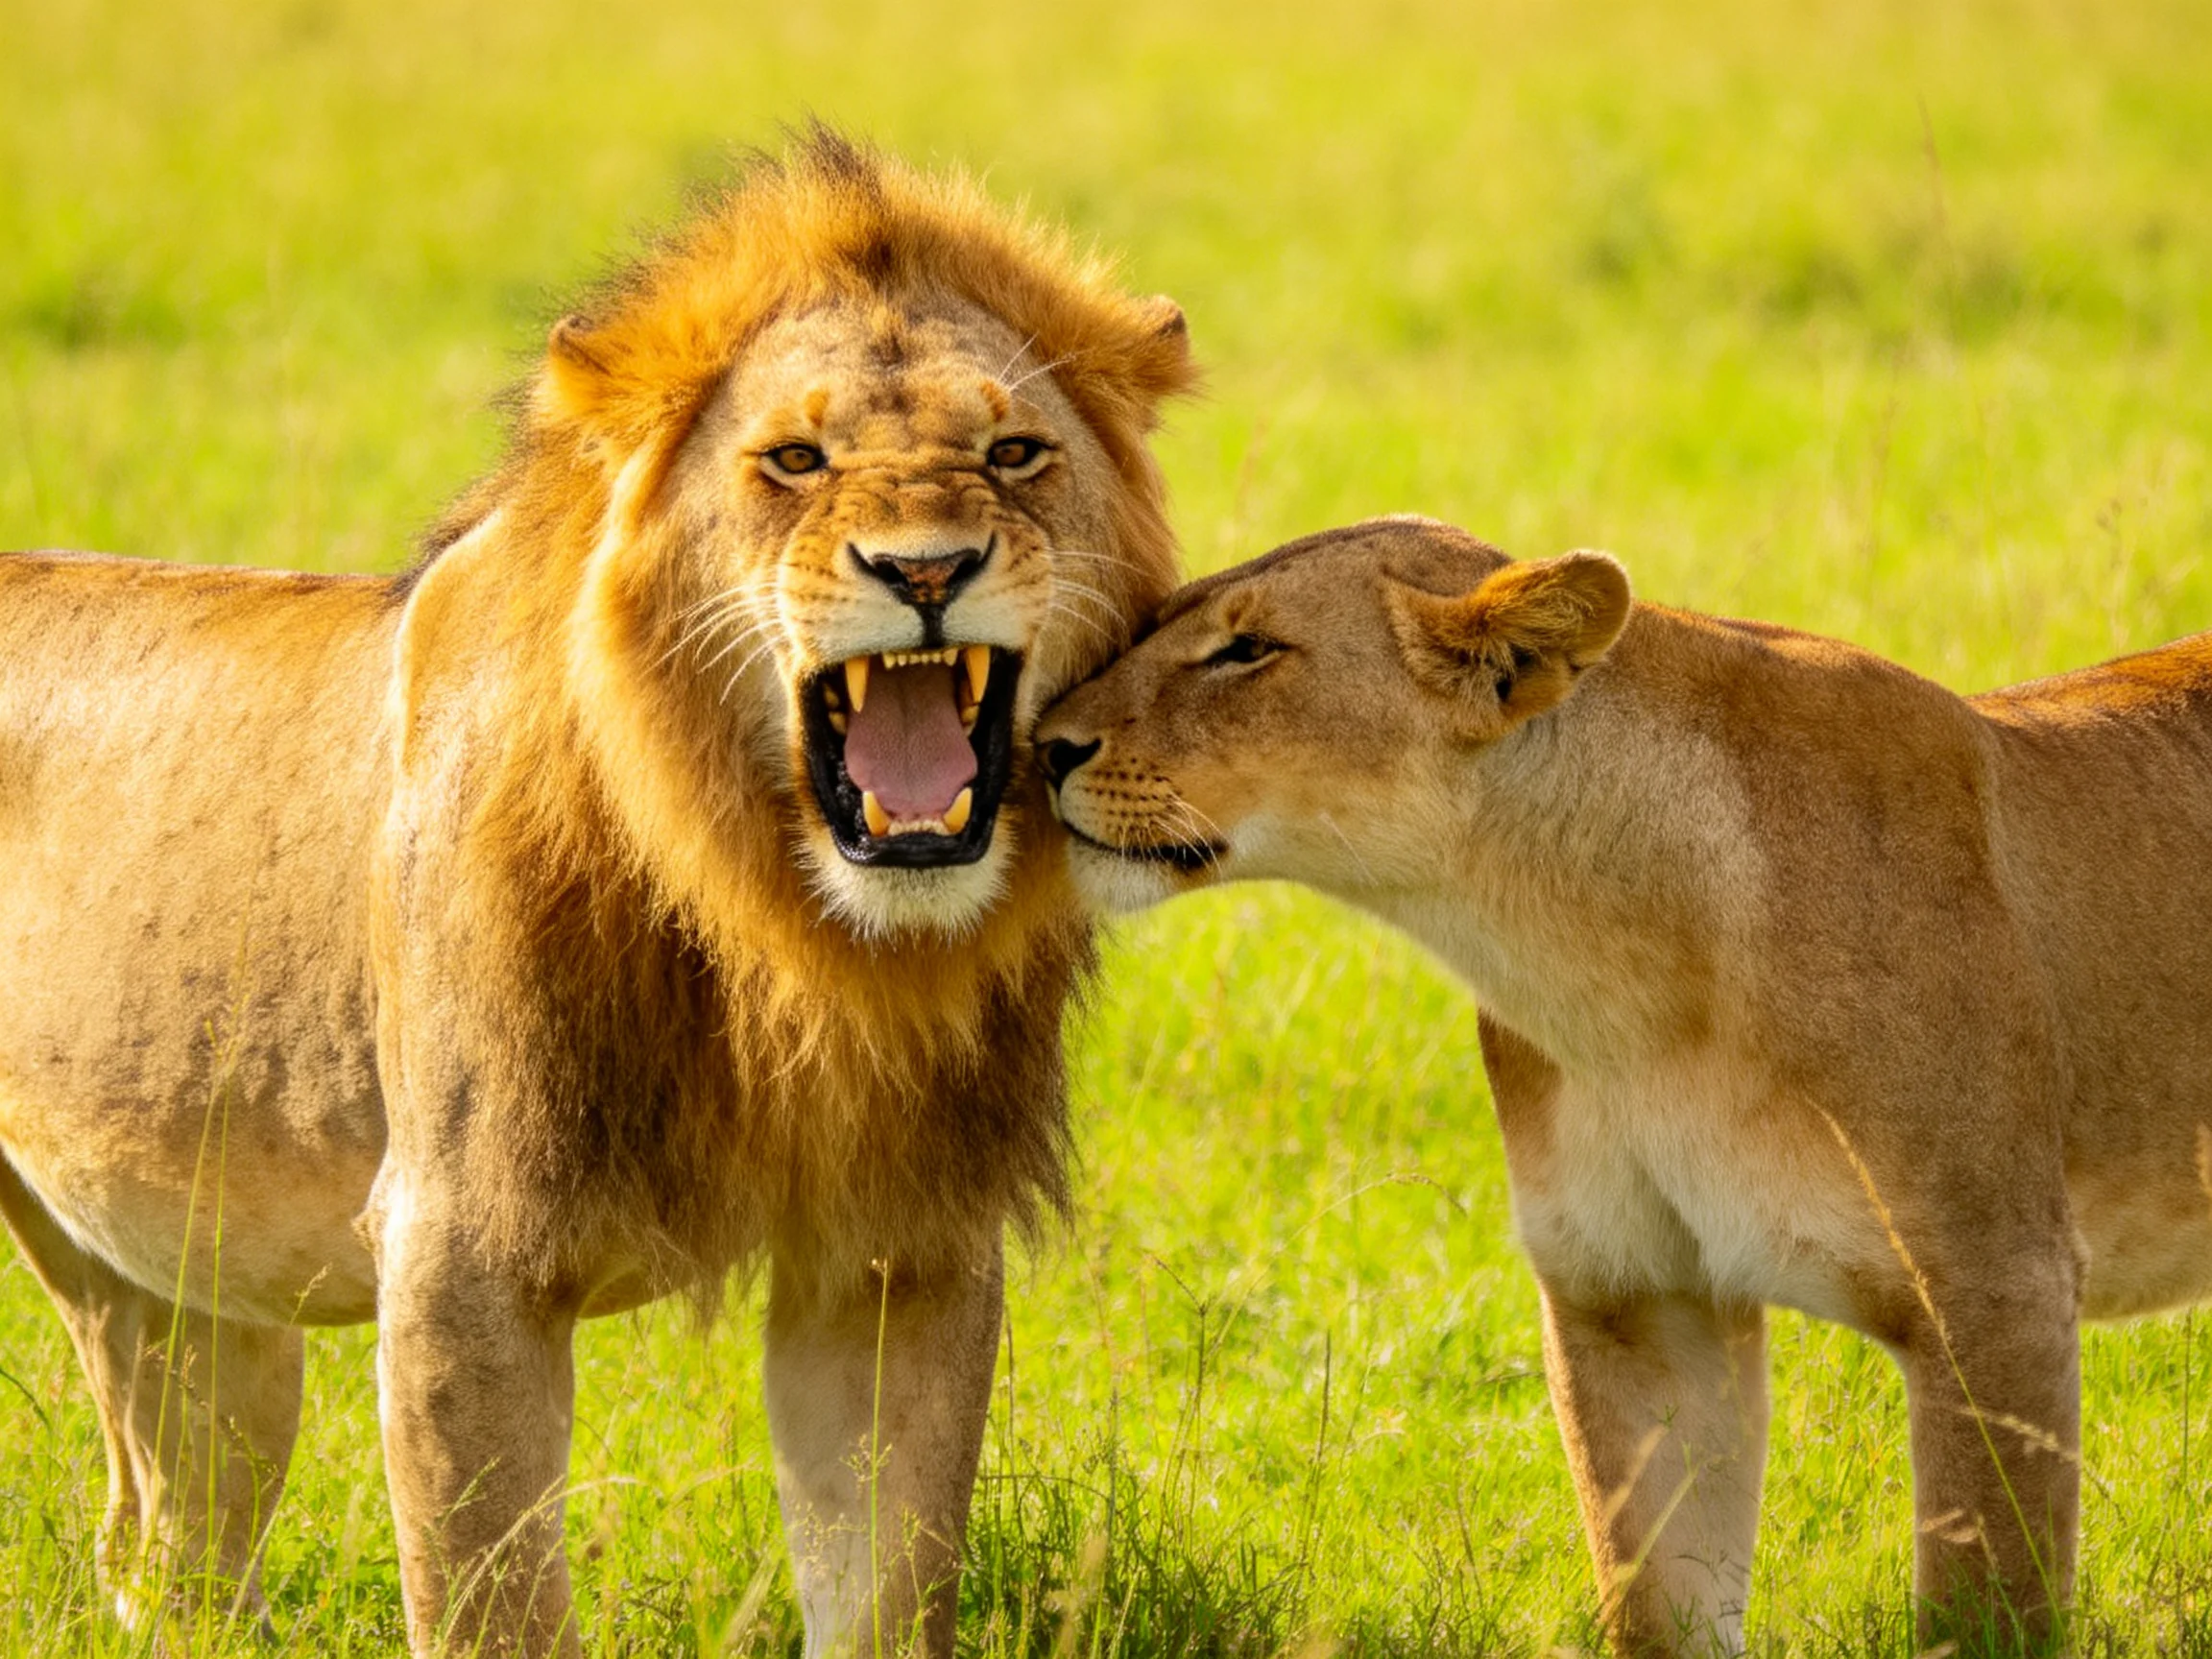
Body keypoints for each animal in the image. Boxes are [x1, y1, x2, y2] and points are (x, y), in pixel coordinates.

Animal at [0, 130, 1193, 1657]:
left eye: (1013, 453)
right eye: (794, 459)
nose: (927, 568)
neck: (779, 929)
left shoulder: (894, 1256)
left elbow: (887, 1577)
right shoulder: (461, 1254)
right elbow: (492, 1600)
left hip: (175, 1285)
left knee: (168, 1540)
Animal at [1035, 515, 2212, 1655]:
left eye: (1248, 651)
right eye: (1161, 619)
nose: (1041, 745)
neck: (1596, 963)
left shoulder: (1992, 1289)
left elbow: (1985, 1607)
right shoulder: (1634, 1296)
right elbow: (1658, 1600)